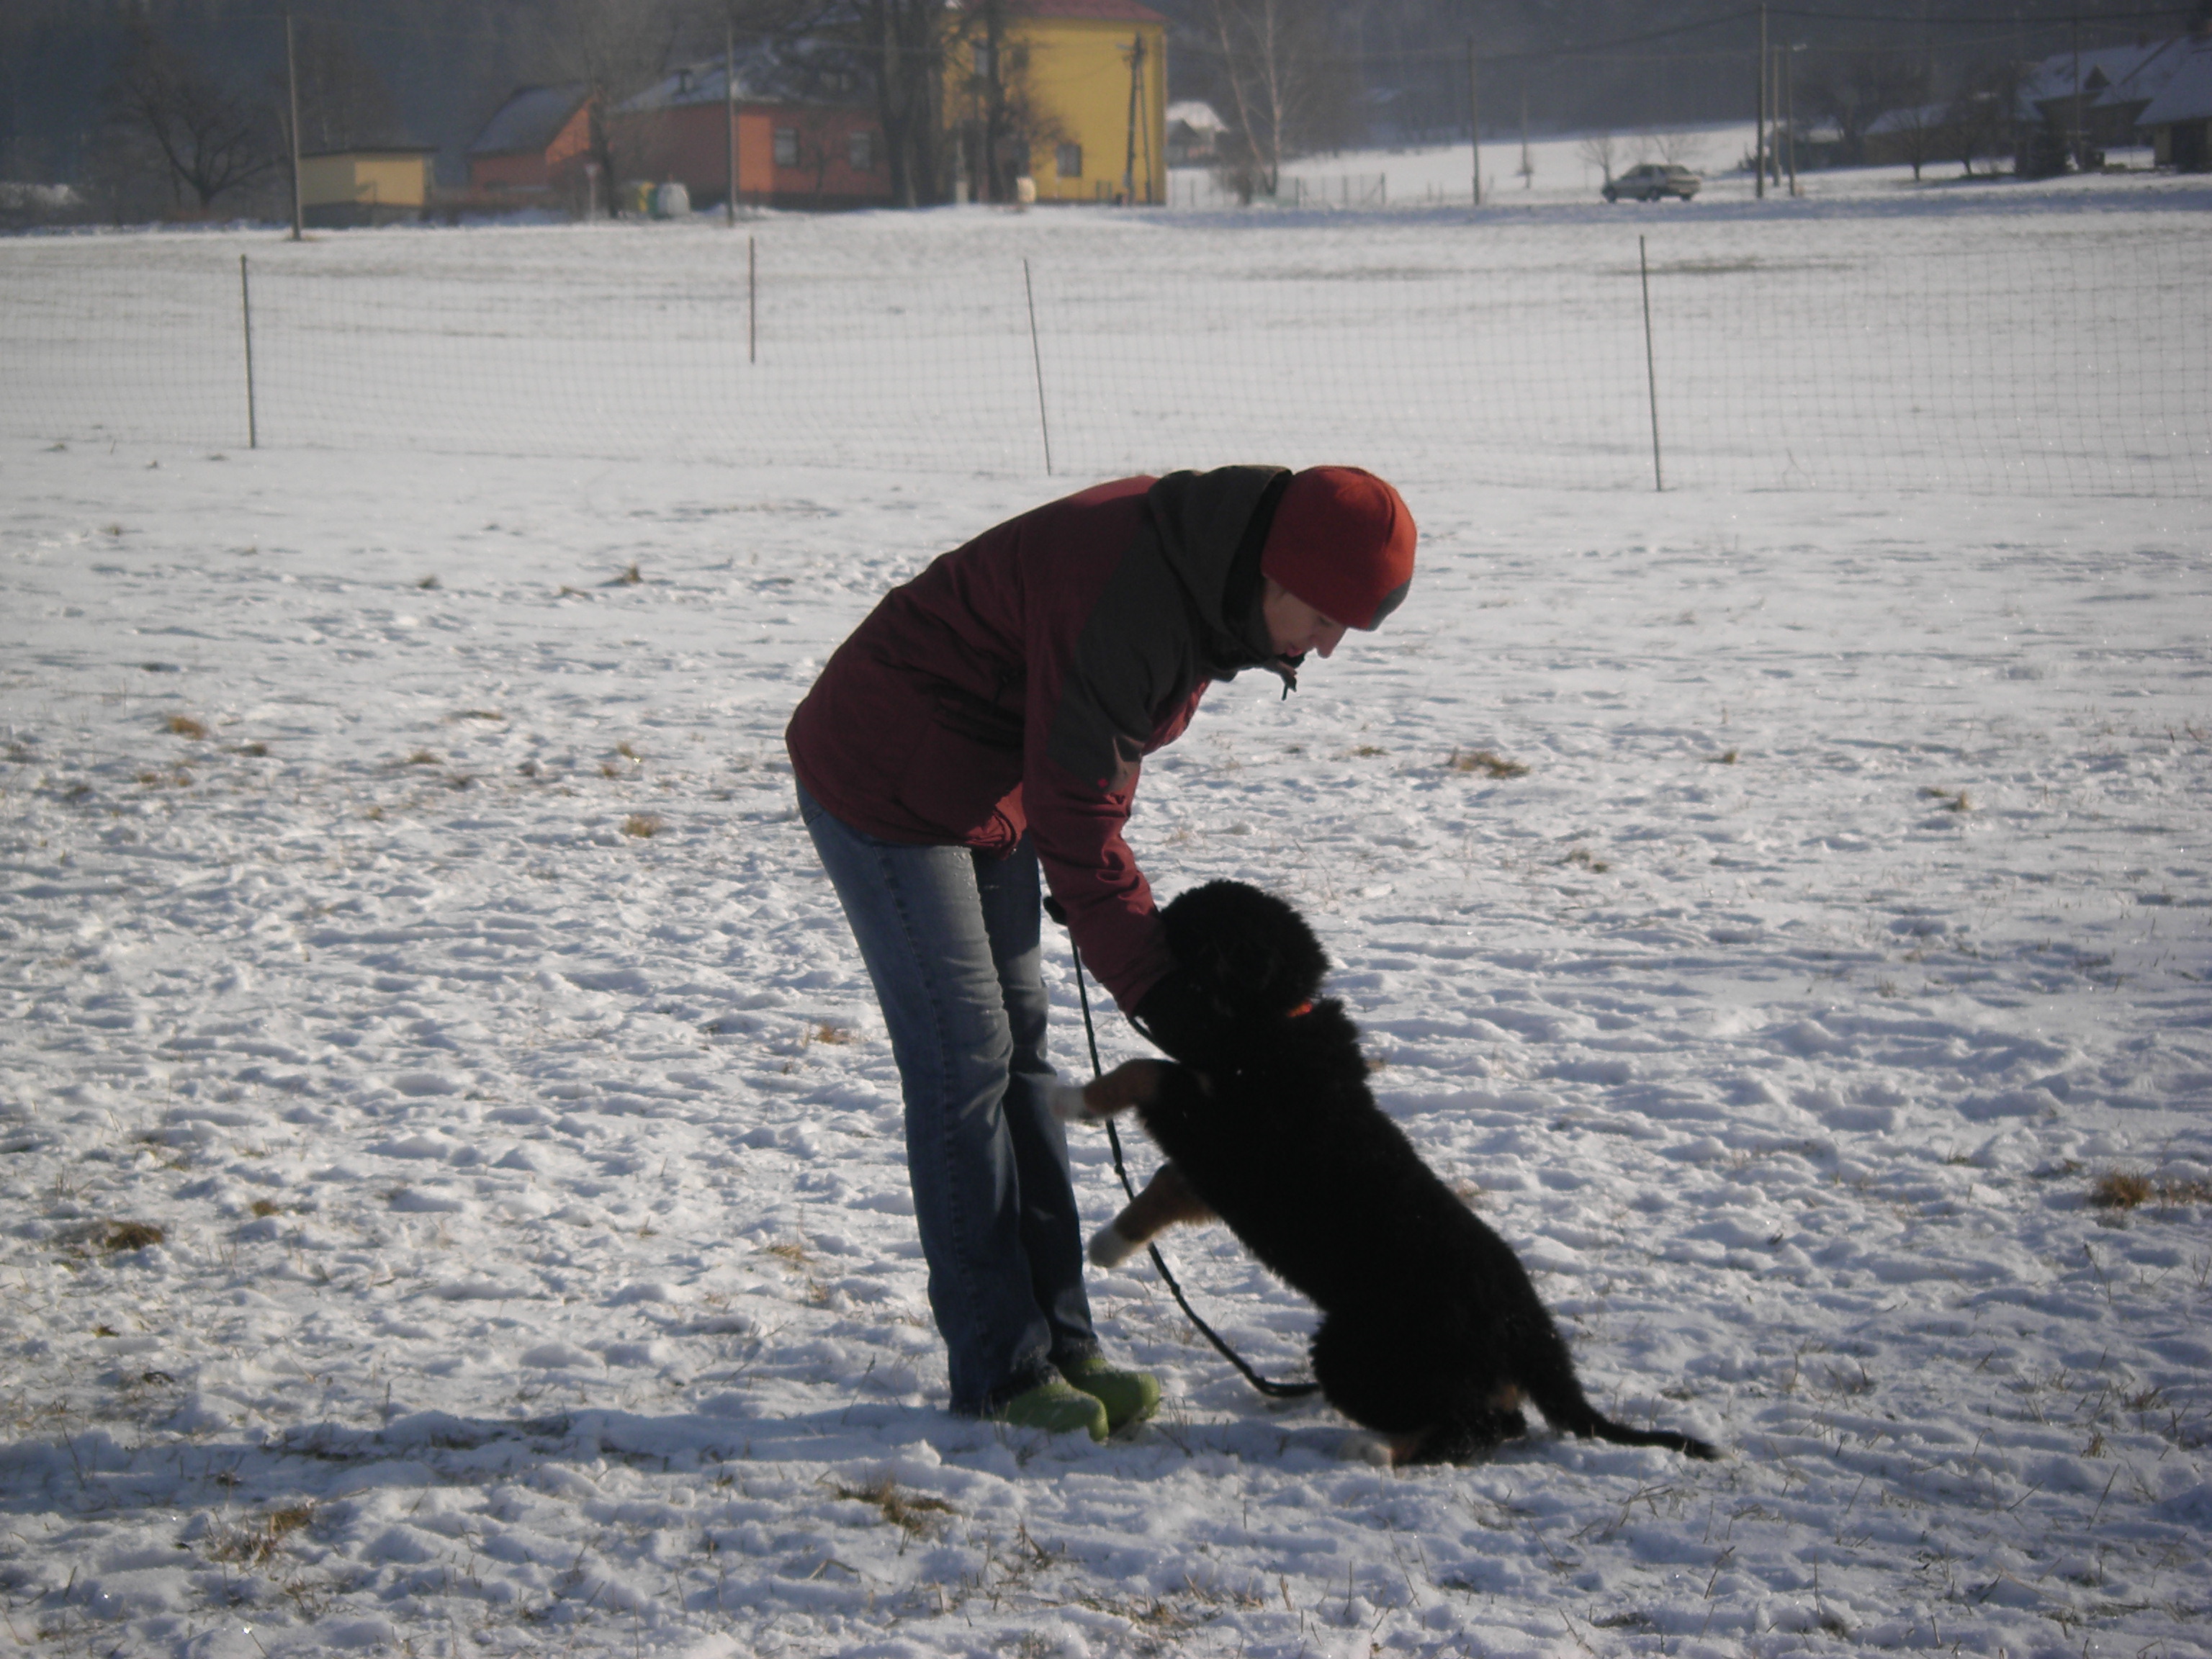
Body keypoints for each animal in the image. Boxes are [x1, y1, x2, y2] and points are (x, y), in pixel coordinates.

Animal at [1043, 884, 1716, 1468]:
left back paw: (1374, 1449)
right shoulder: (1218, 1170)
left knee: (1489, 1424)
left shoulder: (1222, 1130)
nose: (1055, 903)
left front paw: (1067, 1099)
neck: (1274, 1021)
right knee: (1498, 1418)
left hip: (1357, 1351)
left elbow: (1146, 1070)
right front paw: (1108, 1245)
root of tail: (1525, 1325)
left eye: (1182, 922)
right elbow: (1164, 1186)